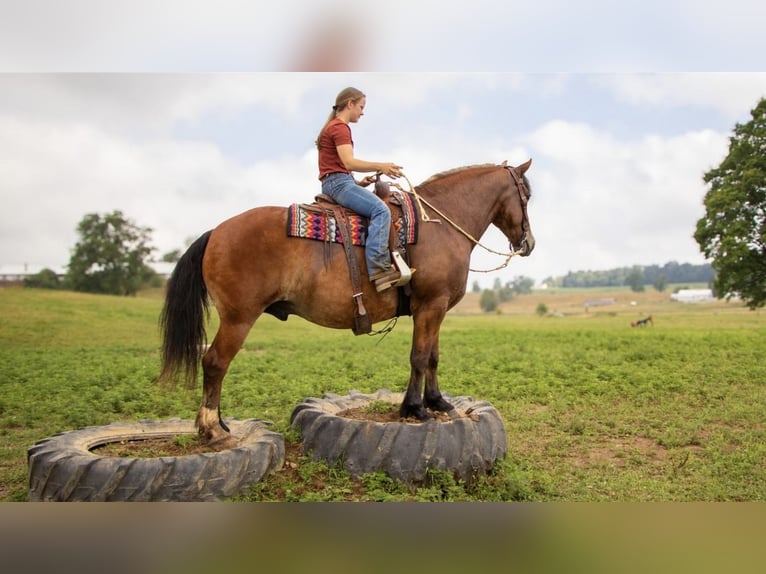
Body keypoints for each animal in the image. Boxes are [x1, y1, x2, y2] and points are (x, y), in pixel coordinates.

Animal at [159, 160, 536, 448]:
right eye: (527, 195)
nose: (529, 243)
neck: (440, 224)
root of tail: (216, 232)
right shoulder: (431, 305)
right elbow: (419, 357)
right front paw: (416, 409)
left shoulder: (434, 308)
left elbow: (432, 357)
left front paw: (438, 402)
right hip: (238, 318)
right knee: (215, 362)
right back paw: (212, 430)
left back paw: (219, 425)